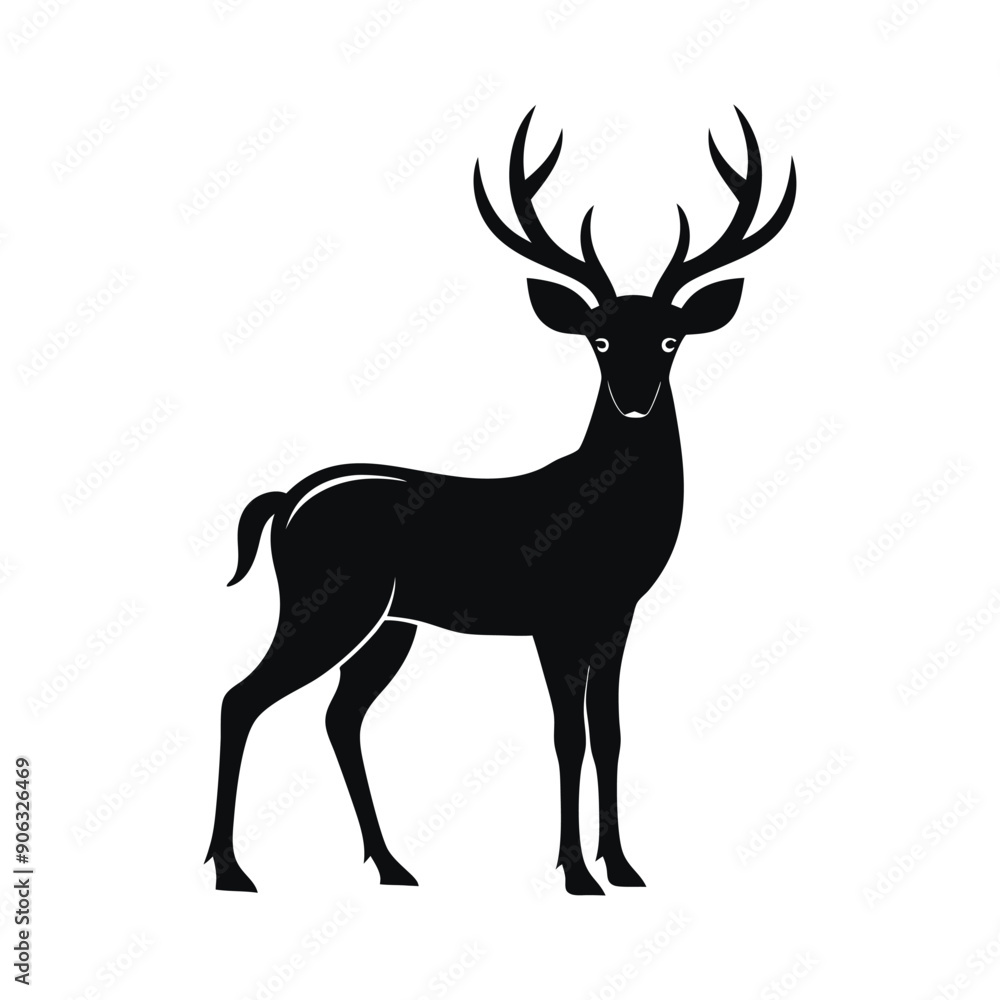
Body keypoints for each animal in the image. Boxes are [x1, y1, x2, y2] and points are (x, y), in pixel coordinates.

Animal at [204, 106, 795, 895]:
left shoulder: (616, 616)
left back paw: (392, 865)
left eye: (671, 338)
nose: (635, 401)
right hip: (327, 602)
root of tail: (286, 501)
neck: (604, 517)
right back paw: (231, 869)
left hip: (390, 623)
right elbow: (567, 736)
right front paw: (575, 873)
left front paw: (623, 866)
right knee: (241, 698)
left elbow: (609, 734)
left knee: (339, 716)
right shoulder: (554, 617)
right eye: (599, 339)